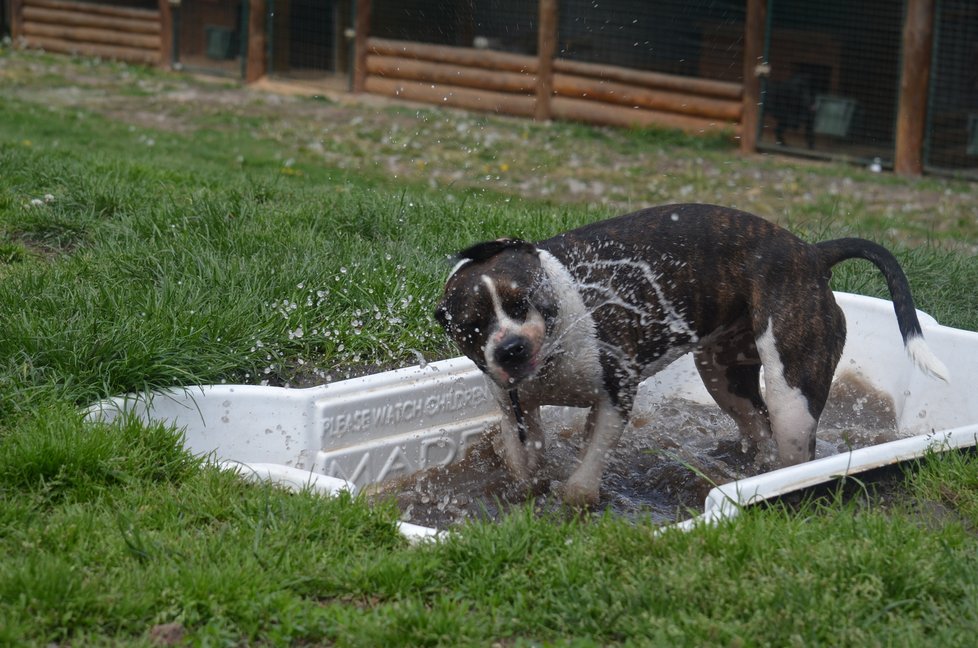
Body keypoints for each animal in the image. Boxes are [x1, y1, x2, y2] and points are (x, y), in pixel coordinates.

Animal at [432, 202, 944, 506]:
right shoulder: (515, 407)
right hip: (723, 376)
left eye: (521, 302)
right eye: (472, 326)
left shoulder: (615, 395)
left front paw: (575, 497)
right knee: (757, 425)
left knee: (793, 444)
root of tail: (811, 254)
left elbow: (587, 468)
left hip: (792, 393)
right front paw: (526, 487)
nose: (511, 347)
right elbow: (523, 459)